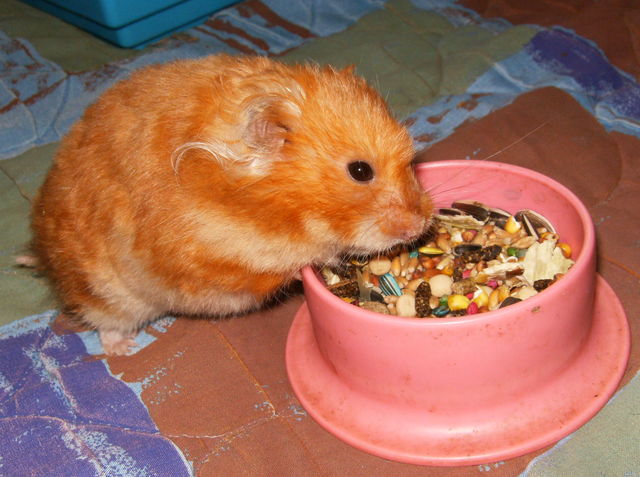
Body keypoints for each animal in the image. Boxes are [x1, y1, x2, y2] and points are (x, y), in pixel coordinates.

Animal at [31, 55, 432, 355]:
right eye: (360, 171)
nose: (420, 225)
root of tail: (41, 253)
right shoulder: (215, 257)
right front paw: (329, 261)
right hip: (109, 293)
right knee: (103, 321)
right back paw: (123, 348)